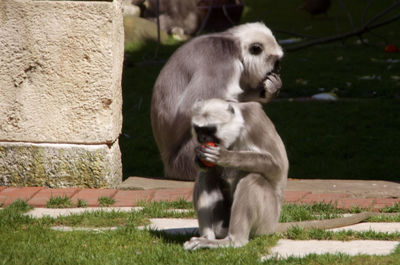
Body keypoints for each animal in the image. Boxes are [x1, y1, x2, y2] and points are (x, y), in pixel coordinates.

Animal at [151, 22, 284, 179]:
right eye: (276, 62)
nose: (278, 69)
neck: (233, 44)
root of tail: (168, 167)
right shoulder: (221, 61)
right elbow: (189, 106)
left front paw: (270, 90)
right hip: (188, 157)